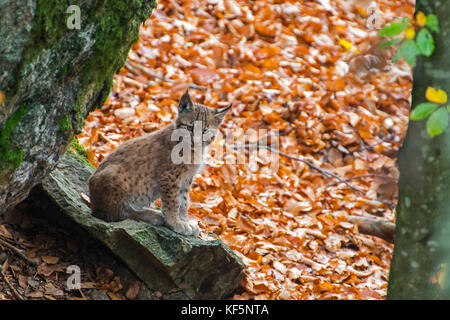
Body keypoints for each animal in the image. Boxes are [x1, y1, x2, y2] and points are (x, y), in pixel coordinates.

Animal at [87, 89, 230, 235]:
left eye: (204, 131)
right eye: (190, 128)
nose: (195, 141)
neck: (194, 150)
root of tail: (92, 201)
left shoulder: (187, 178)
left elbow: (184, 201)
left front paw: (184, 220)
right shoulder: (169, 177)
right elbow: (173, 202)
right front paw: (175, 222)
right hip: (115, 173)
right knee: (117, 215)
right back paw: (151, 215)